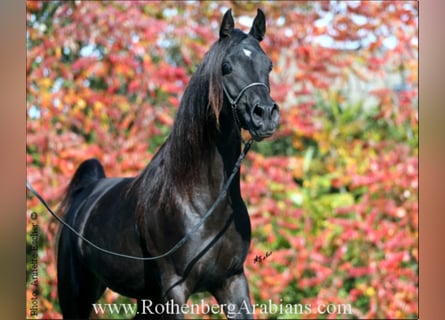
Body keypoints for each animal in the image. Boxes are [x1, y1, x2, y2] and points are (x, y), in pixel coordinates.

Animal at [55, 8, 278, 318]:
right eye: (227, 66)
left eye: (268, 65)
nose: (265, 115)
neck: (200, 200)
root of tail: (88, 191)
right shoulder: (174, 289)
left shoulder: (232, 282)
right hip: (76, 296)